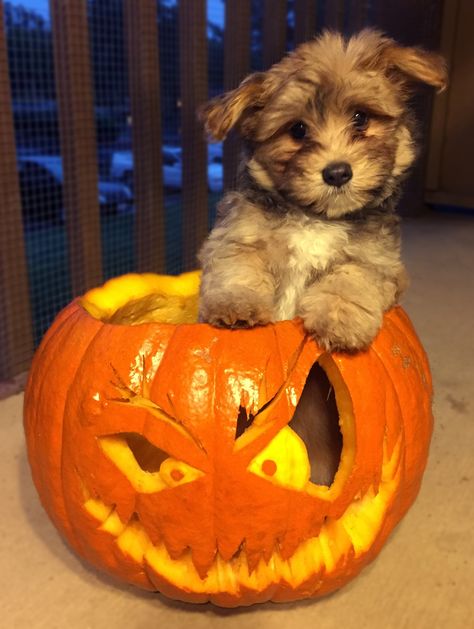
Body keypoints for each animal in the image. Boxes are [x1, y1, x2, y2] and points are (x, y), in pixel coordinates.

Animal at [197, 29, 448, 350]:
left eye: (361, 118)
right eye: (297, 130)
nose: (338, 173)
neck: (316, 218)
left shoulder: (378, 260)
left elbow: (353, 277)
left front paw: (339, 318)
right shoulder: (240, 234)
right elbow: (238, 265)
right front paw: (237, 303)